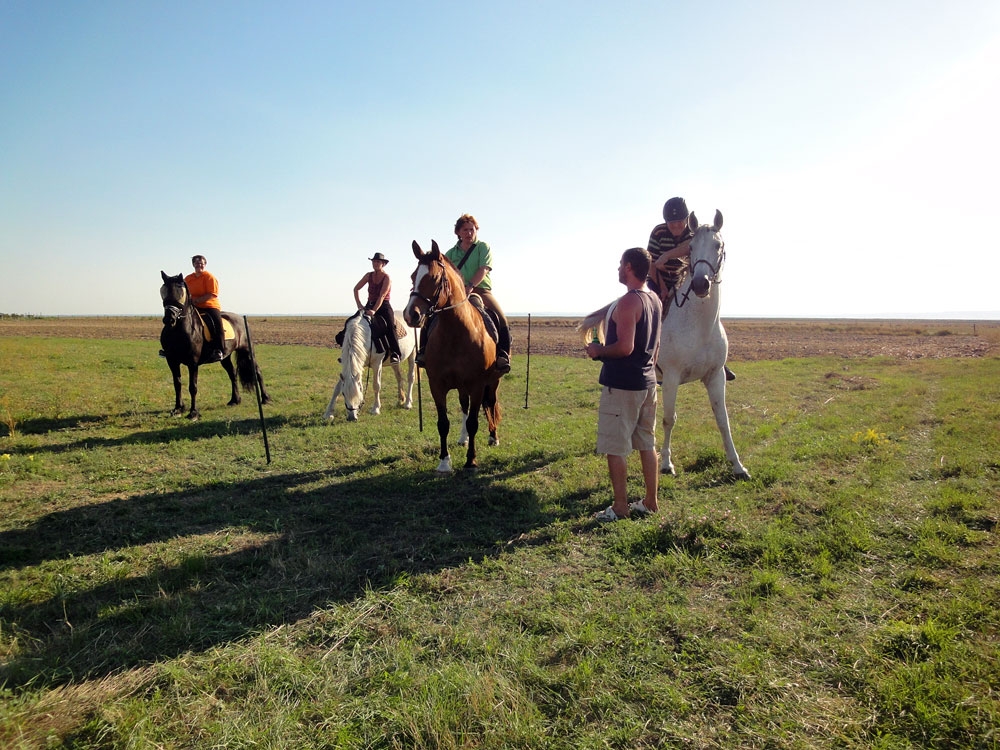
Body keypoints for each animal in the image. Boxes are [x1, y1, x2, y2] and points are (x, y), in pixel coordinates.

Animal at [159, 272, 270, 424]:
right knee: (232, 374)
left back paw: (265, 399)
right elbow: (177, 384)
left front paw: (193, 413)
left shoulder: (193, 363)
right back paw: (235, 400)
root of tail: (241, 319)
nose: (169, 319)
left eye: (180, 292)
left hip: (248, 351)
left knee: (257, 372)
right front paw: (178, 409)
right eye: (163, 291)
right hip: (226, 357)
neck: (178, 330)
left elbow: (192, 387)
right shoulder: (171, 361)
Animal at [402, 242, 504, 476]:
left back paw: (493, 437)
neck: (456, 334)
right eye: (413, 276)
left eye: (434, 278)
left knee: (491, 403)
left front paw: (471, 461)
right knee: (465, 407)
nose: (410, 315)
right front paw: (444, 462)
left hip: (492, 382)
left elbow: (475, 421)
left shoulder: (477, 385)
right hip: (462, 387)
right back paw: (463, 438)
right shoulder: (437, 386)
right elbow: (443, 423)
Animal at [580, 212, 752, 482]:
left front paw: (737, 465)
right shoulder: (672, 378)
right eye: (691, 247)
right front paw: (666, 464)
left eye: (718, 245)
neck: (699, 327)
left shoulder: (716, 377)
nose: (701, 284)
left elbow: (723, 420)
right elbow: (669, 420)